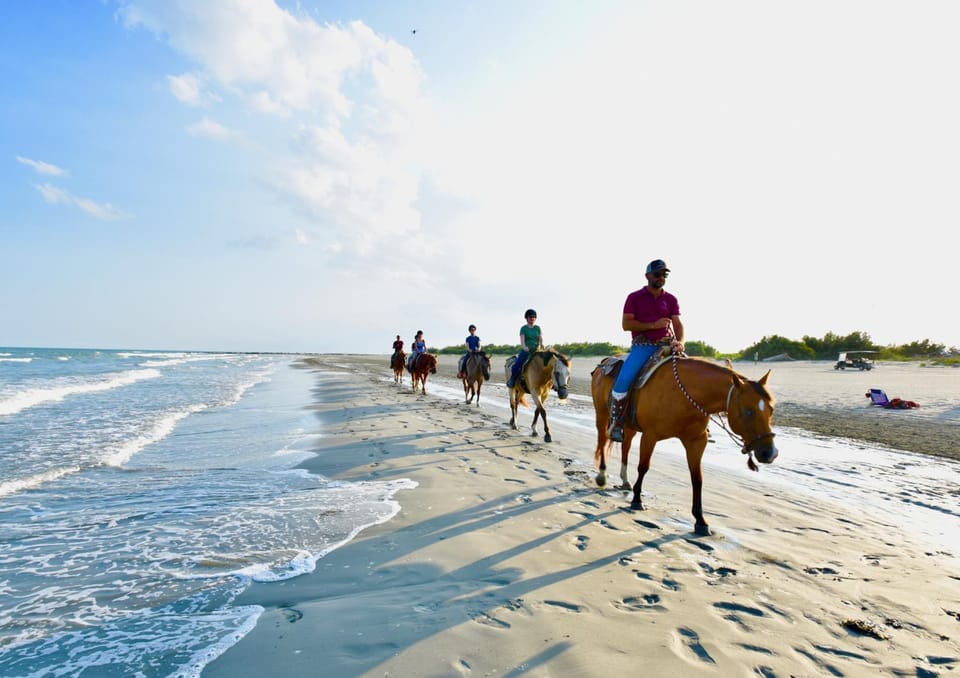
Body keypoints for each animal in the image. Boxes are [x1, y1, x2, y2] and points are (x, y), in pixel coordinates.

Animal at [591, 354, 777, 536]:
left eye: (771, 409)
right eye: (748, 411)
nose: (770, 453)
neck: (684, 395)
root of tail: (604, 363)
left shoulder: (696, 441)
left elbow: (697, 479)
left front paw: (700, 520)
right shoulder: (650, 436)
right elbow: (643, 467)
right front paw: (637, 500)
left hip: (629, 426)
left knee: (626, 446)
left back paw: (625, 480)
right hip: (602, 414)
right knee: (602, 440)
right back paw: (602, 475)